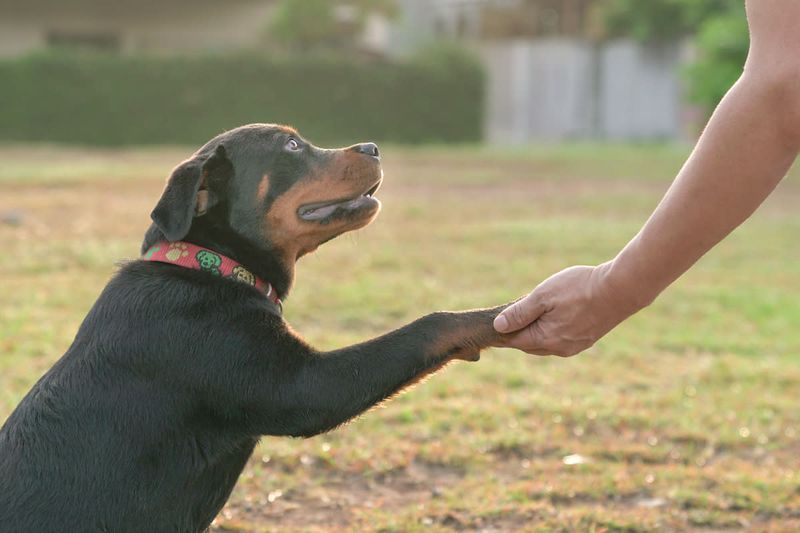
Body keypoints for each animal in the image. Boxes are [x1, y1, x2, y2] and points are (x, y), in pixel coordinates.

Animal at [0, 124, 506, 532]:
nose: (373, 147)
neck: (211, 266)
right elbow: (428, 327)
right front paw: (497, 316)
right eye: (291, 145)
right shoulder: (305, 386)